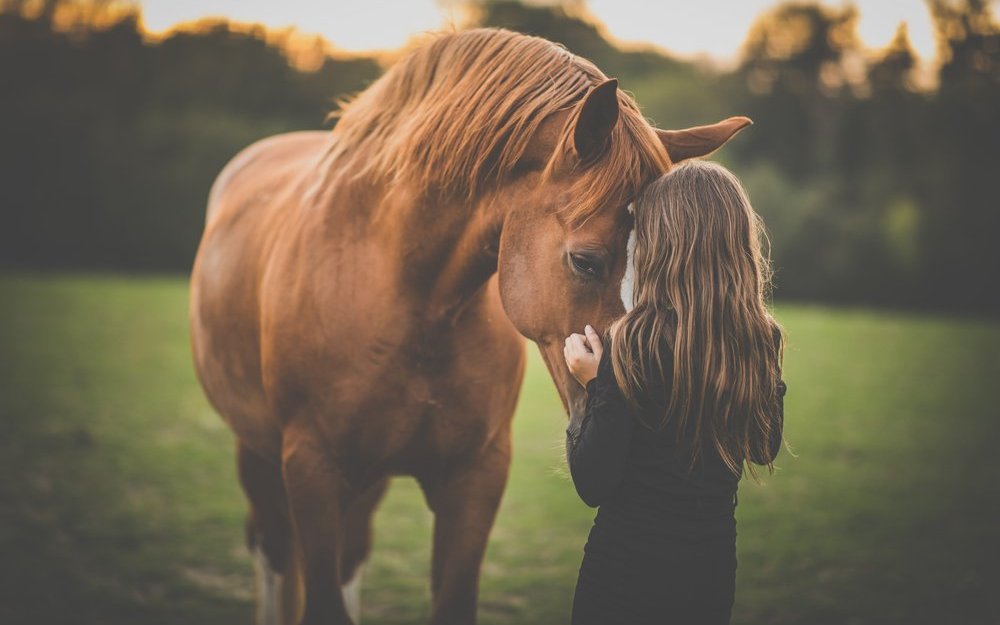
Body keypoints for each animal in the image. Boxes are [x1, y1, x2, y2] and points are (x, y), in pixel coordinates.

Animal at [189, 28, 749, 625]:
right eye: (586, 261)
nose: (651, 418)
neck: (402, 297)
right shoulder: (312, 470)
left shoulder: (475, 477)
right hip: (260, 453)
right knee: (275, 556)